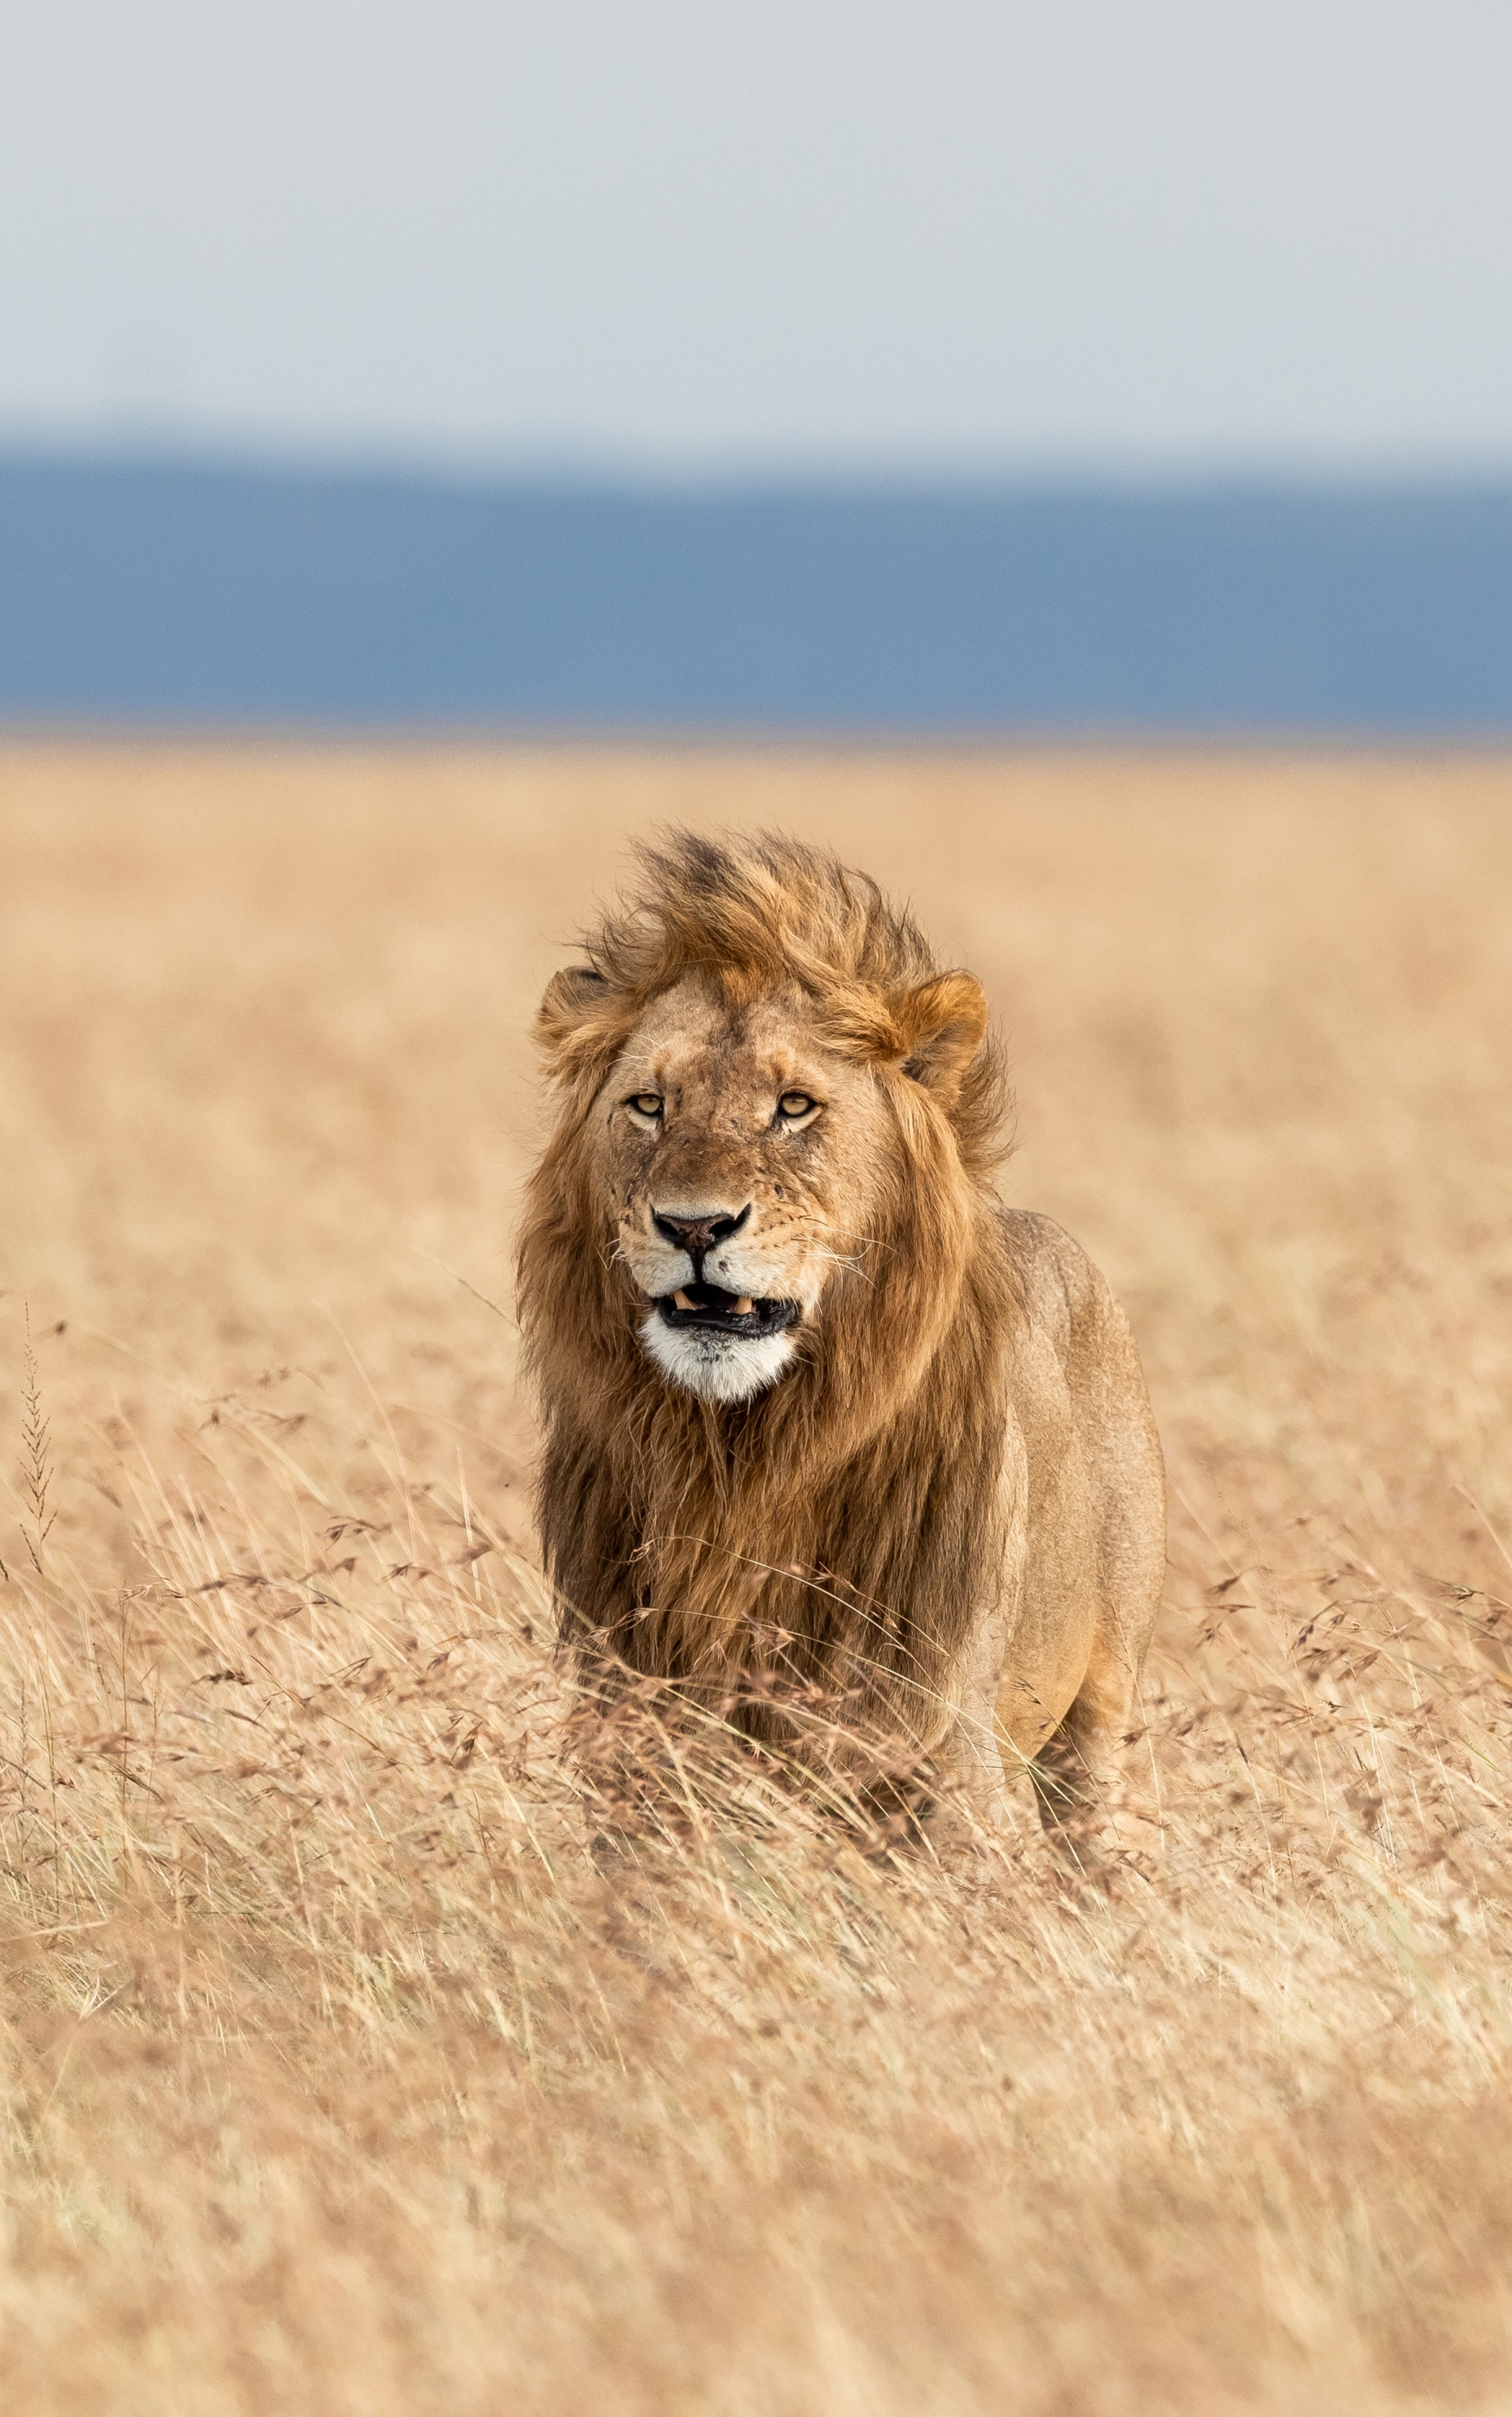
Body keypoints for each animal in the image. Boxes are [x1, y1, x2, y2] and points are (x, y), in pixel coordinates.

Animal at [516, 836, 1163, 1846]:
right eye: (650, 1104)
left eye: (793, 1106)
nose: (693, 1225)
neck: (740, 1459)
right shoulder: (636, 1734)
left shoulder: (939, 1740)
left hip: (1103, 1711)